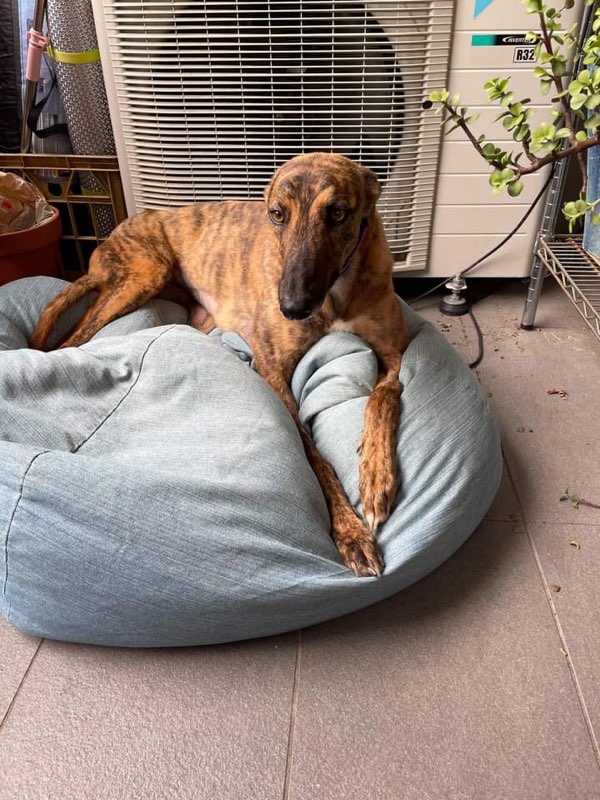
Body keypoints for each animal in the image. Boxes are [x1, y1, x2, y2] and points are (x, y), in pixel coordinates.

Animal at [30, 153, 409, 577]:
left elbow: (383, 398)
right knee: (72, 338)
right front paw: (351, 532)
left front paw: (376, 478)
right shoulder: (273, 370)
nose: (292, 307)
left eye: (338, 213)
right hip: (144, 273)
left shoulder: (393, 356)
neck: (337, 295)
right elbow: (314, 455)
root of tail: (107, 242)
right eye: (277, 213)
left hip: (194, 313)